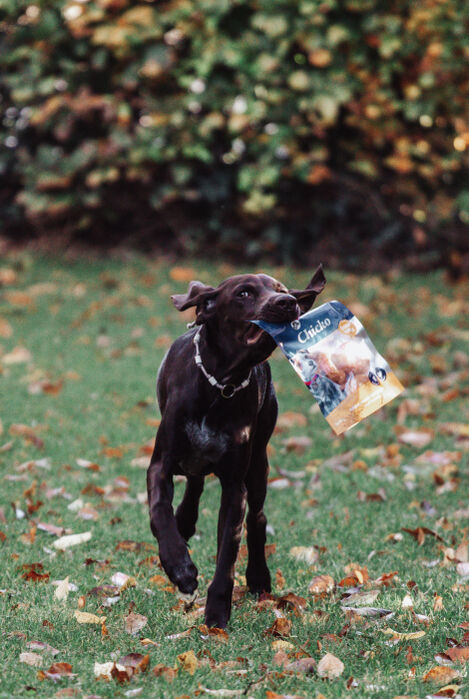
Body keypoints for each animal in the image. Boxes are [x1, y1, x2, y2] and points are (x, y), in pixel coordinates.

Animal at [148, 266, 324, 628]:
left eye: (281, 290)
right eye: (244, 293)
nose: (288, 303)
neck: (220, 385)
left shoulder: (234, 487)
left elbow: (227, 557)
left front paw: (217, 611)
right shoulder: (160, 464)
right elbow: (159, 511)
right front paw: (179, 567)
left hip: (258, 465)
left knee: (257, 518)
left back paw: (258, 576)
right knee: (193, 485)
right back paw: (184, 523)